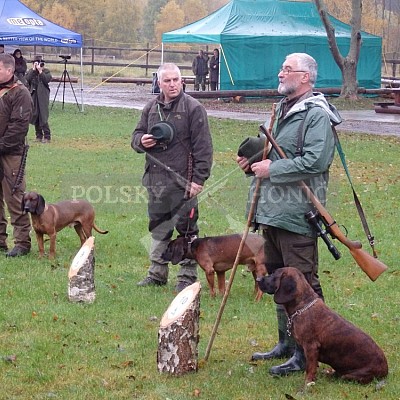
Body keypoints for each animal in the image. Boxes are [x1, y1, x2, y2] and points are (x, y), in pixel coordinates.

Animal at [256, 268, 388, 386]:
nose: (257, 279)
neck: (303, 306)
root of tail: (386, 371)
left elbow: (310, 370)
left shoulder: (311, 347)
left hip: (352, 375)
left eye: (274, 274)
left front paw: (307, 385)